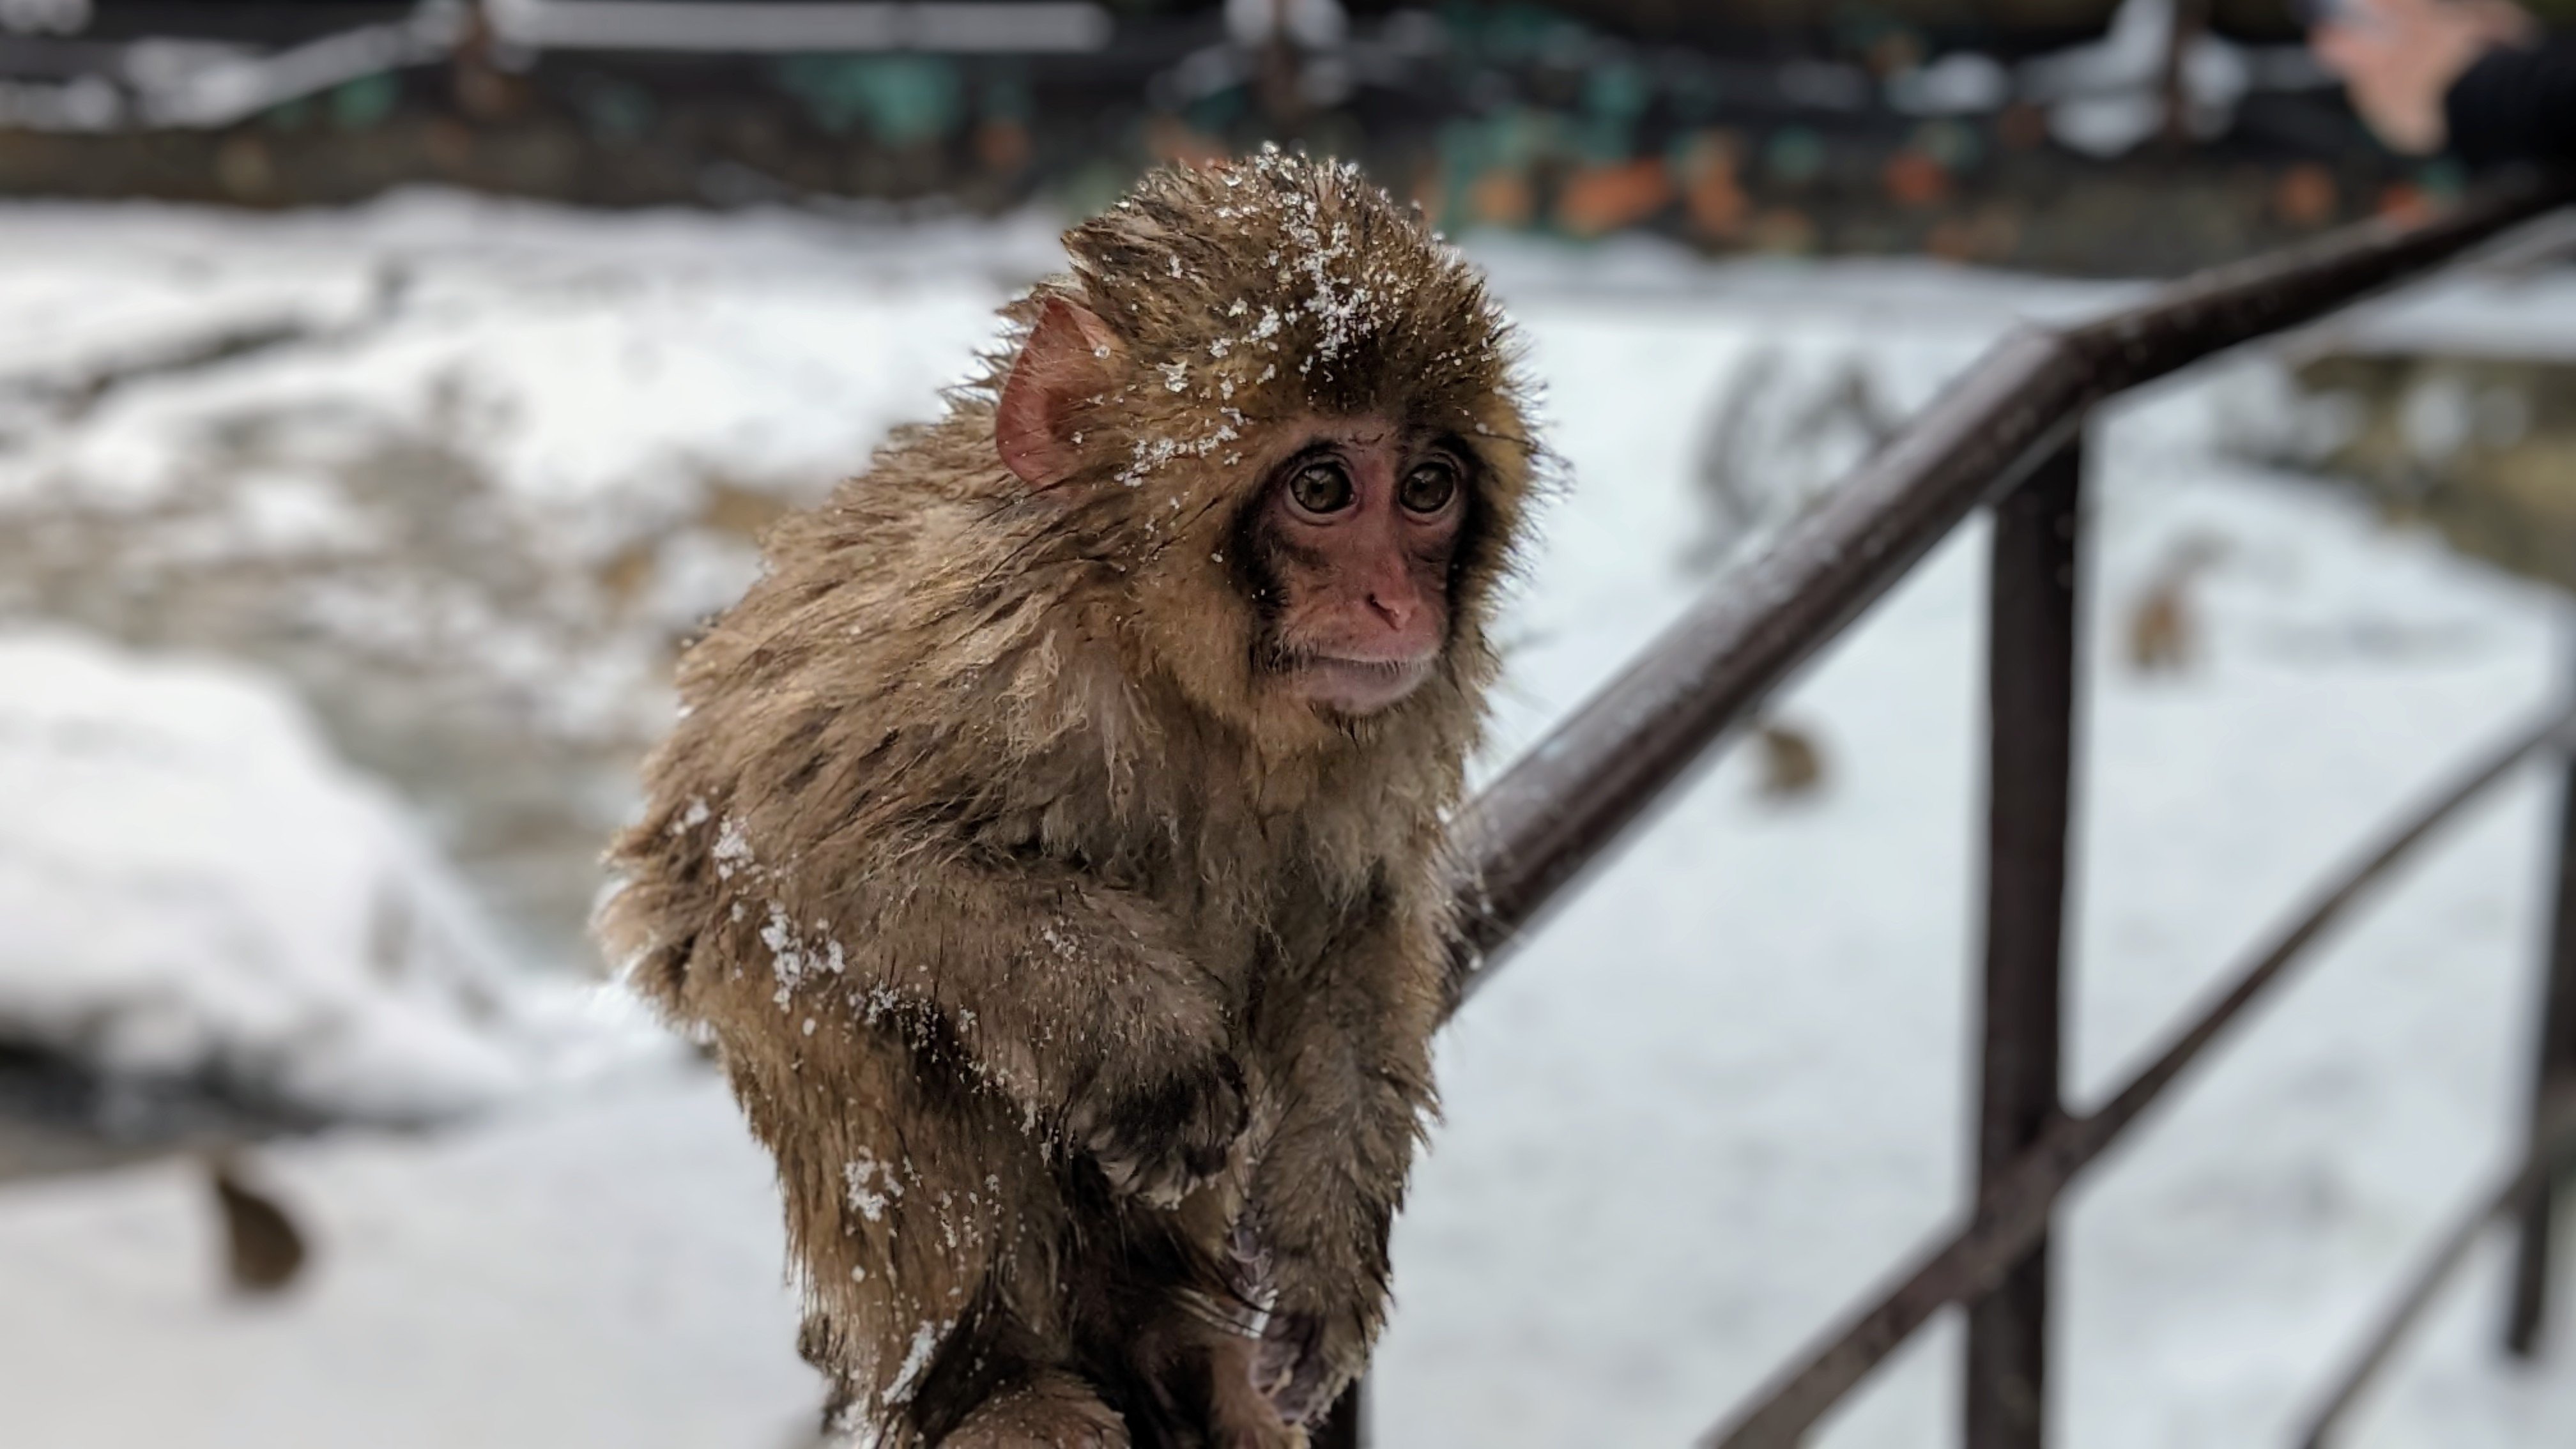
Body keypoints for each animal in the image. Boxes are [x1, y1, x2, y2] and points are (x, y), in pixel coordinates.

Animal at [597, 150, 1539, 1448]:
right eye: (1323, 487)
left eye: (1429, 488)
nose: (1401, 605)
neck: (1180, 674)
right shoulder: (973, 649)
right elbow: (791, 843)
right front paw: (1143, 1042)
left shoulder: (1393, 733)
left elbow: (1358, 923)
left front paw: (1321, 1242)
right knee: (844, 1000)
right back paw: (991, 1375)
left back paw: (1184, 1340)